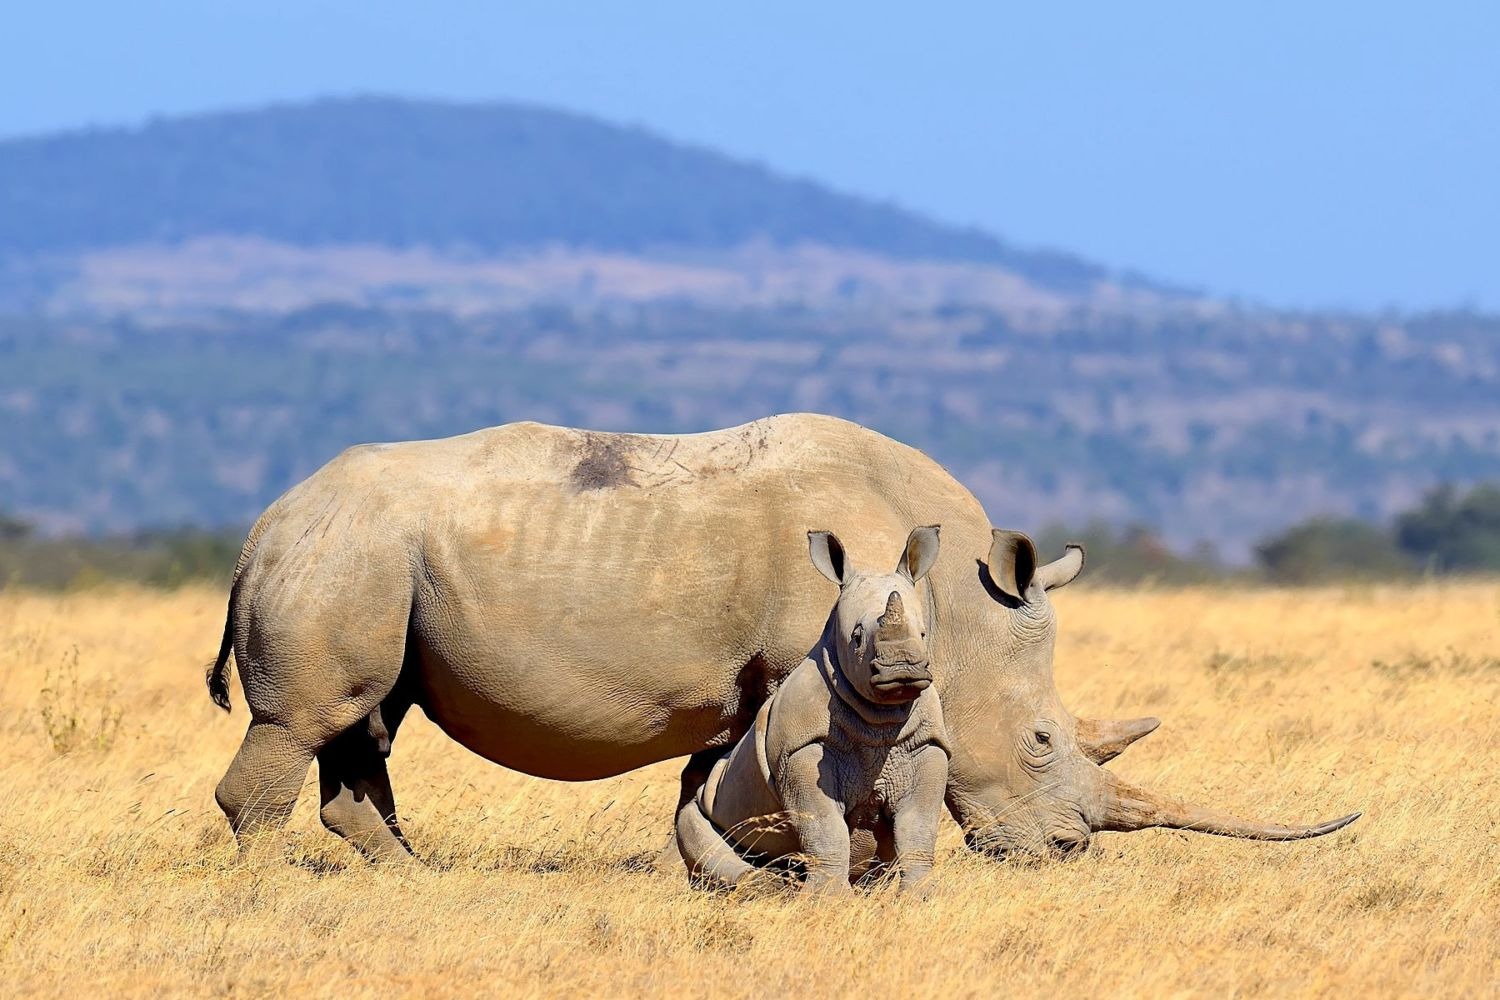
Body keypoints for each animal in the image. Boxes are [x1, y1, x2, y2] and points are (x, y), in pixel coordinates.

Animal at [676, 526, 949, 895]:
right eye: (856, 637)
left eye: (922, 634)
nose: (903, 669)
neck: (883, 715)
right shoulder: (801, 748)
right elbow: (824, 827)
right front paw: (829, 898)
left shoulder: (926, 744)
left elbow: (918, 825)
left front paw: (922, 895)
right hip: (708, 800)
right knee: (694, 826)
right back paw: (769, 887)